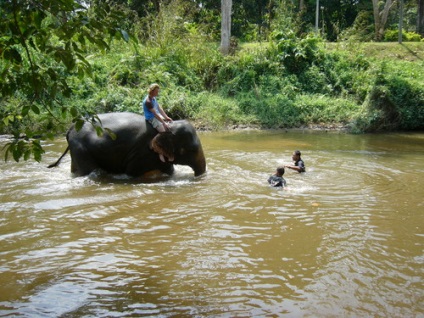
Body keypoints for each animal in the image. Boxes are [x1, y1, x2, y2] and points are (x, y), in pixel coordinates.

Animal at [48, 111, 207, 176]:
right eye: (191, 149)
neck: (167, 126)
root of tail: (70, 129)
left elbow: (169, 169)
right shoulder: (142, 153)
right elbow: (133, 172)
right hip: (81, 149)